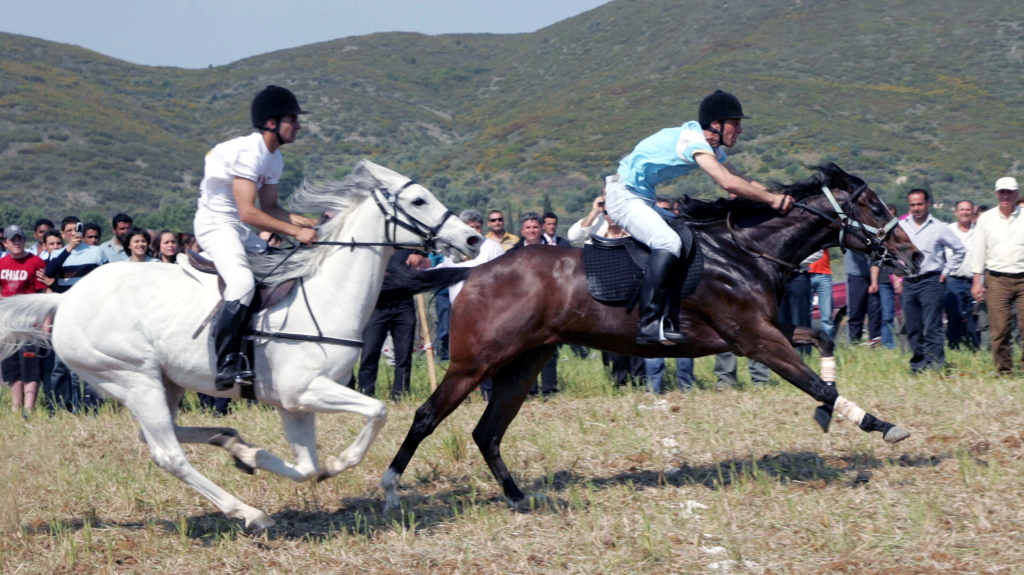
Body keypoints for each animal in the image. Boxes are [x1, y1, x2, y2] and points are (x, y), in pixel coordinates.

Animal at [0, 157, 479, 527]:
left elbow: (306, 467)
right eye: (418, 201)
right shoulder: (305, 390)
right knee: (168, 454)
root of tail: (66, 299)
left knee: (161, 434)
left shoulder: (294, 404)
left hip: (163, 382)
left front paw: (252, 457)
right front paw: (339, 464)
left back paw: (231, 442)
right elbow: (377, 411)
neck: (328, 293)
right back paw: (248, 513)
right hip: (132, 378)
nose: (473, 238)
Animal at [380, 162, 925, 505]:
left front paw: (831, 414)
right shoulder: (755, 338)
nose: (916, 257)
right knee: (427, 416)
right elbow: (815, 383)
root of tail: (474, 269)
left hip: (524, 363)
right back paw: (389, 490)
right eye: (877, 209)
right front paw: (879, 424)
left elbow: (823, 342)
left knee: (487, 432)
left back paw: (517, 497)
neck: (743, 250)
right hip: (475, 364)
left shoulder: (761, 331)